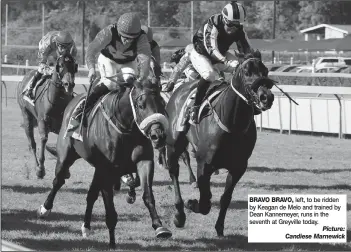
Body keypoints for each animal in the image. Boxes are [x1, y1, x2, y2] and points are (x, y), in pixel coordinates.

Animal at [37, 79, 172, 248]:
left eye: (162, 103)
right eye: (141, 105)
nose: (158, 135)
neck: (125, 129)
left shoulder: (143, 161)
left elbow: (147, 194)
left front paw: (159, 226)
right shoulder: (107, 170)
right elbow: (110, 210)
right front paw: (112, 243)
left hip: (97, 169)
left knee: (91, 195)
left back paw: (86, 226)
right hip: (65, 156)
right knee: (58, 181)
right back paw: (45, 208)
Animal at [162, 50, 276, 235]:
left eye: (265, 71)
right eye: (247, 72)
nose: (267, 97)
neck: (232, 124)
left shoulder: (238, 168)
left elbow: (225, 198)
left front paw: (219, 226)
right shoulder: (204, 164)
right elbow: (204, 202)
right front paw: (191, 203)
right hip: (173, 144)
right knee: (174, 172)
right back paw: (179, 214)